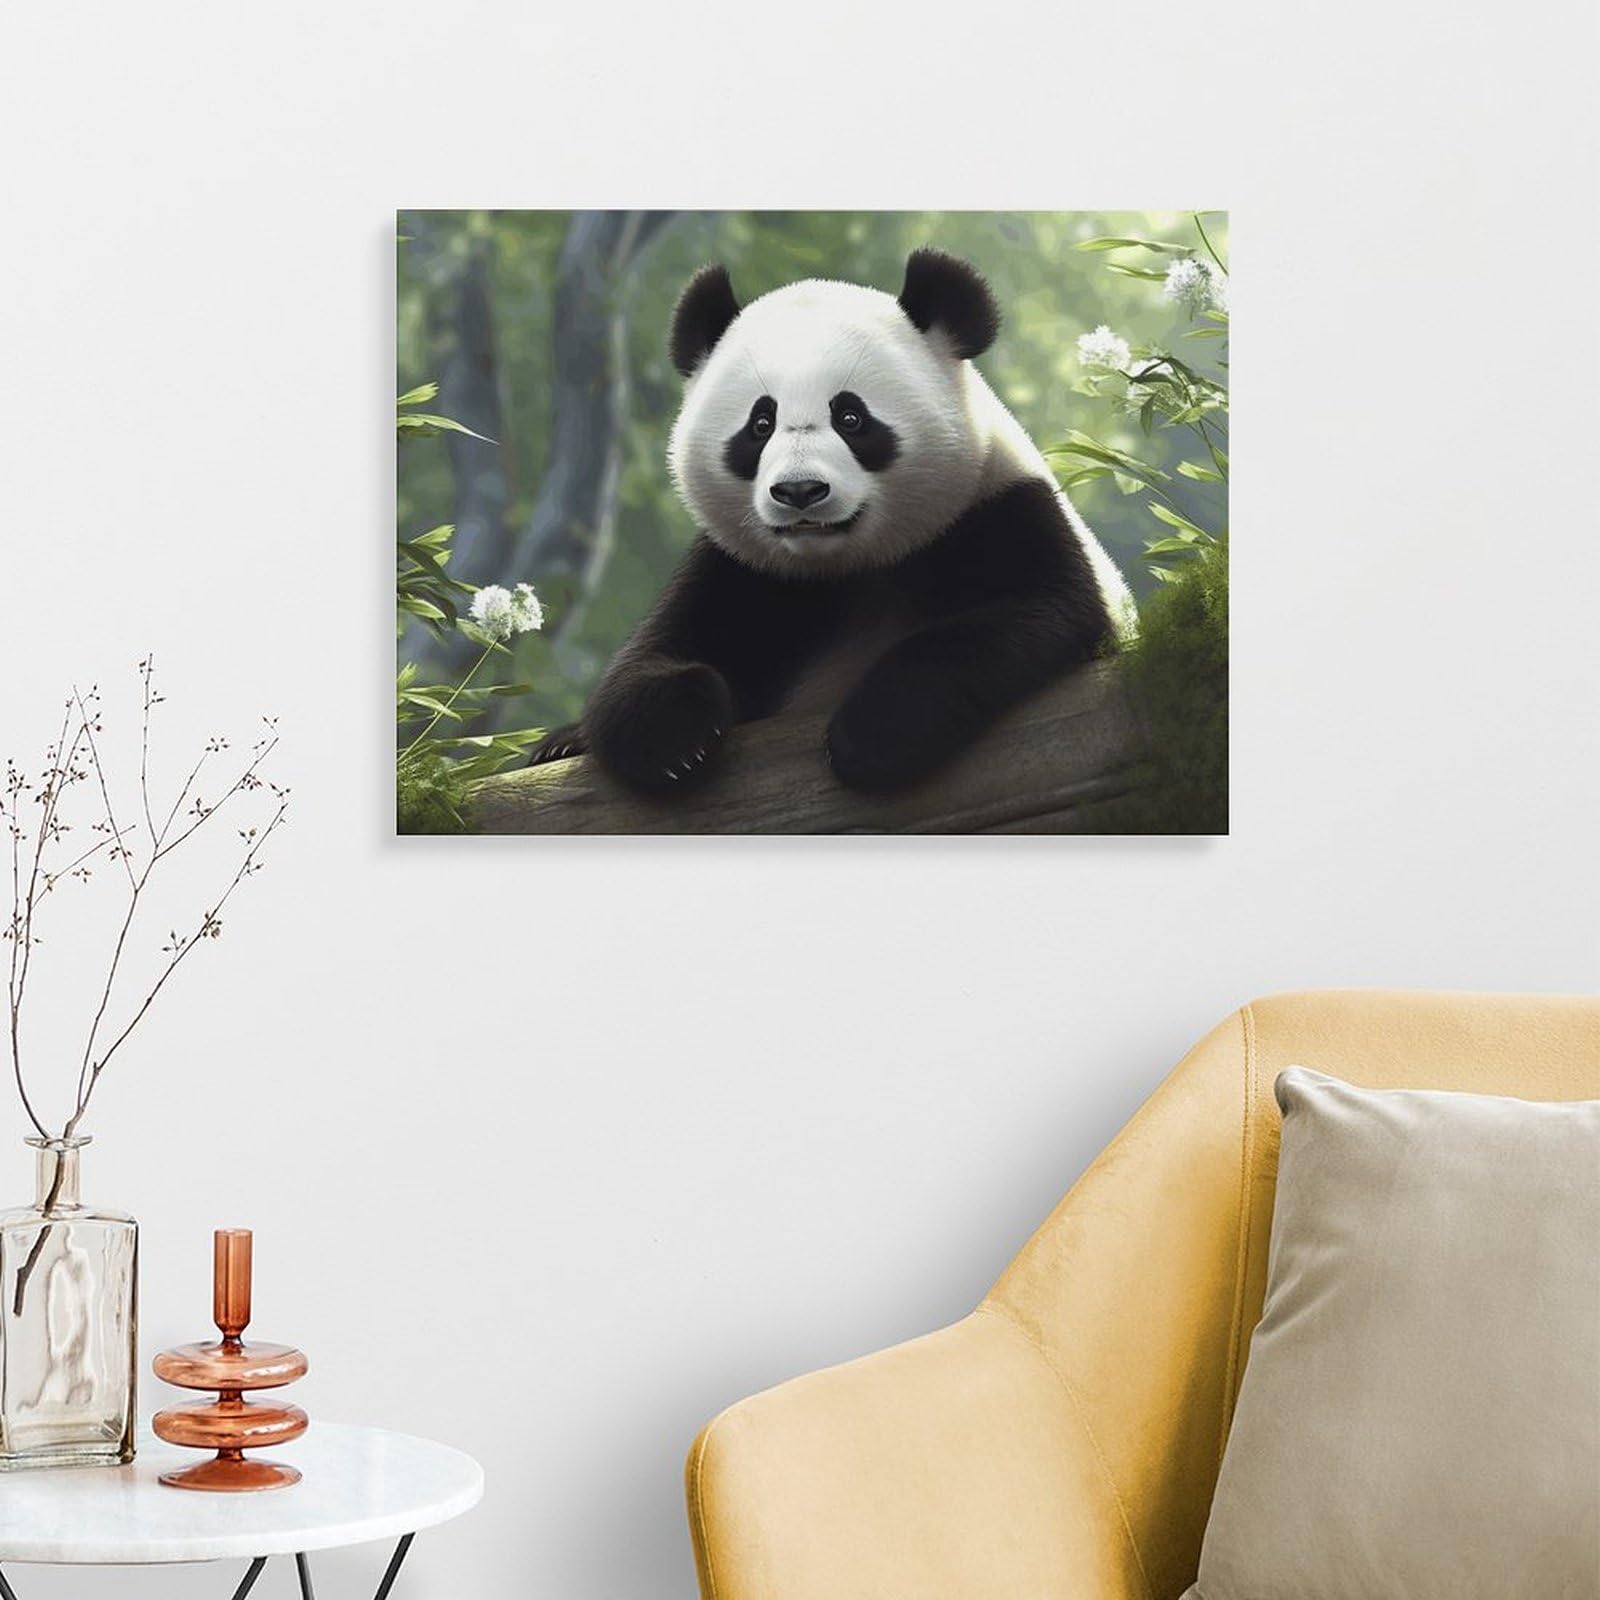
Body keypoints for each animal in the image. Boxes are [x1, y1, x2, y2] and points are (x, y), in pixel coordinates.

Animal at [530, 248, 1134, 795]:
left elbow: (1035, 614)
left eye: (850, 417)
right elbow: (651, 657)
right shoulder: (743, 570)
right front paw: (673, 739)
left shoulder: (1000, 512)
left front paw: (874, 735)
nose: (800, 491)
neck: (853, 565)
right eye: (761, 423)